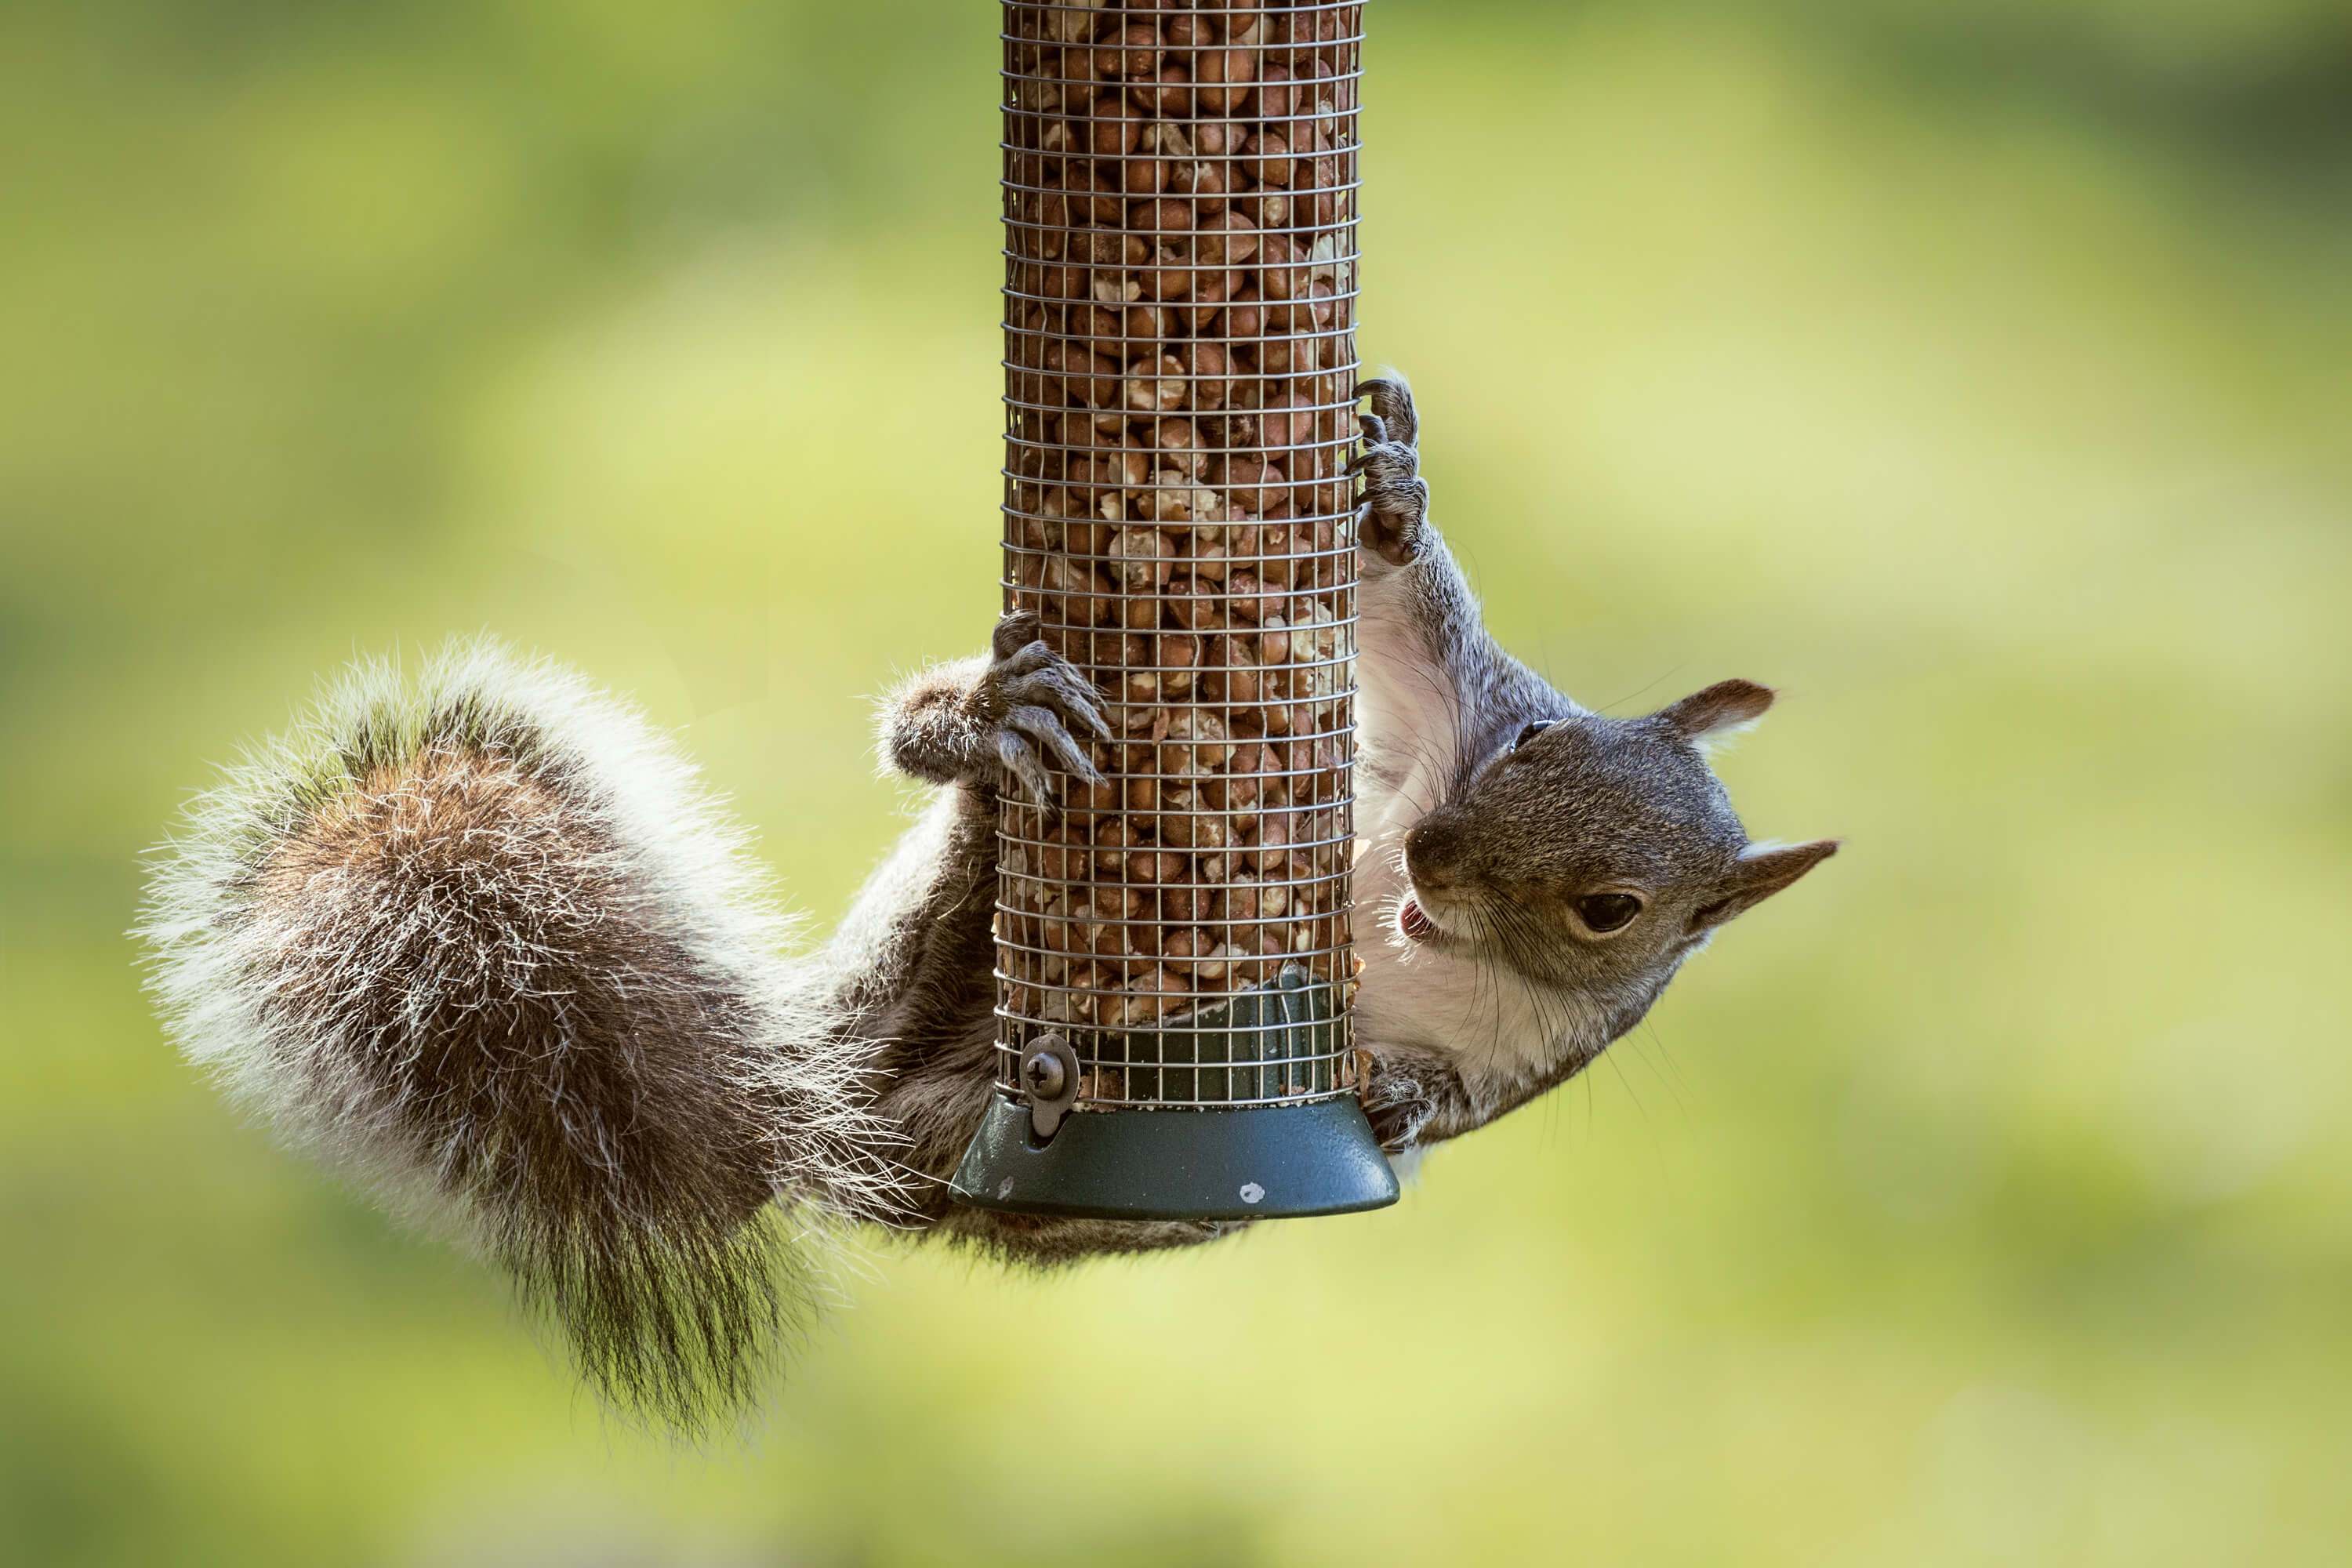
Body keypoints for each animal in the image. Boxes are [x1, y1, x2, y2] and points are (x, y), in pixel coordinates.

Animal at [137, 380, 1835, 1439]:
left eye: (1611, 909)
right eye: (1538, 734)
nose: (1428, 860)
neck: (1424, 935)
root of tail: (833, 1124)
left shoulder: (1543, 1054)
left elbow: (1448, 1105)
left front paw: (1399, 1094)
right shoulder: (1429, 727)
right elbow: (1408, 620)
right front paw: (1394, 497)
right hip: (956, 925)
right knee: (949, 780)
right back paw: (981, 729)